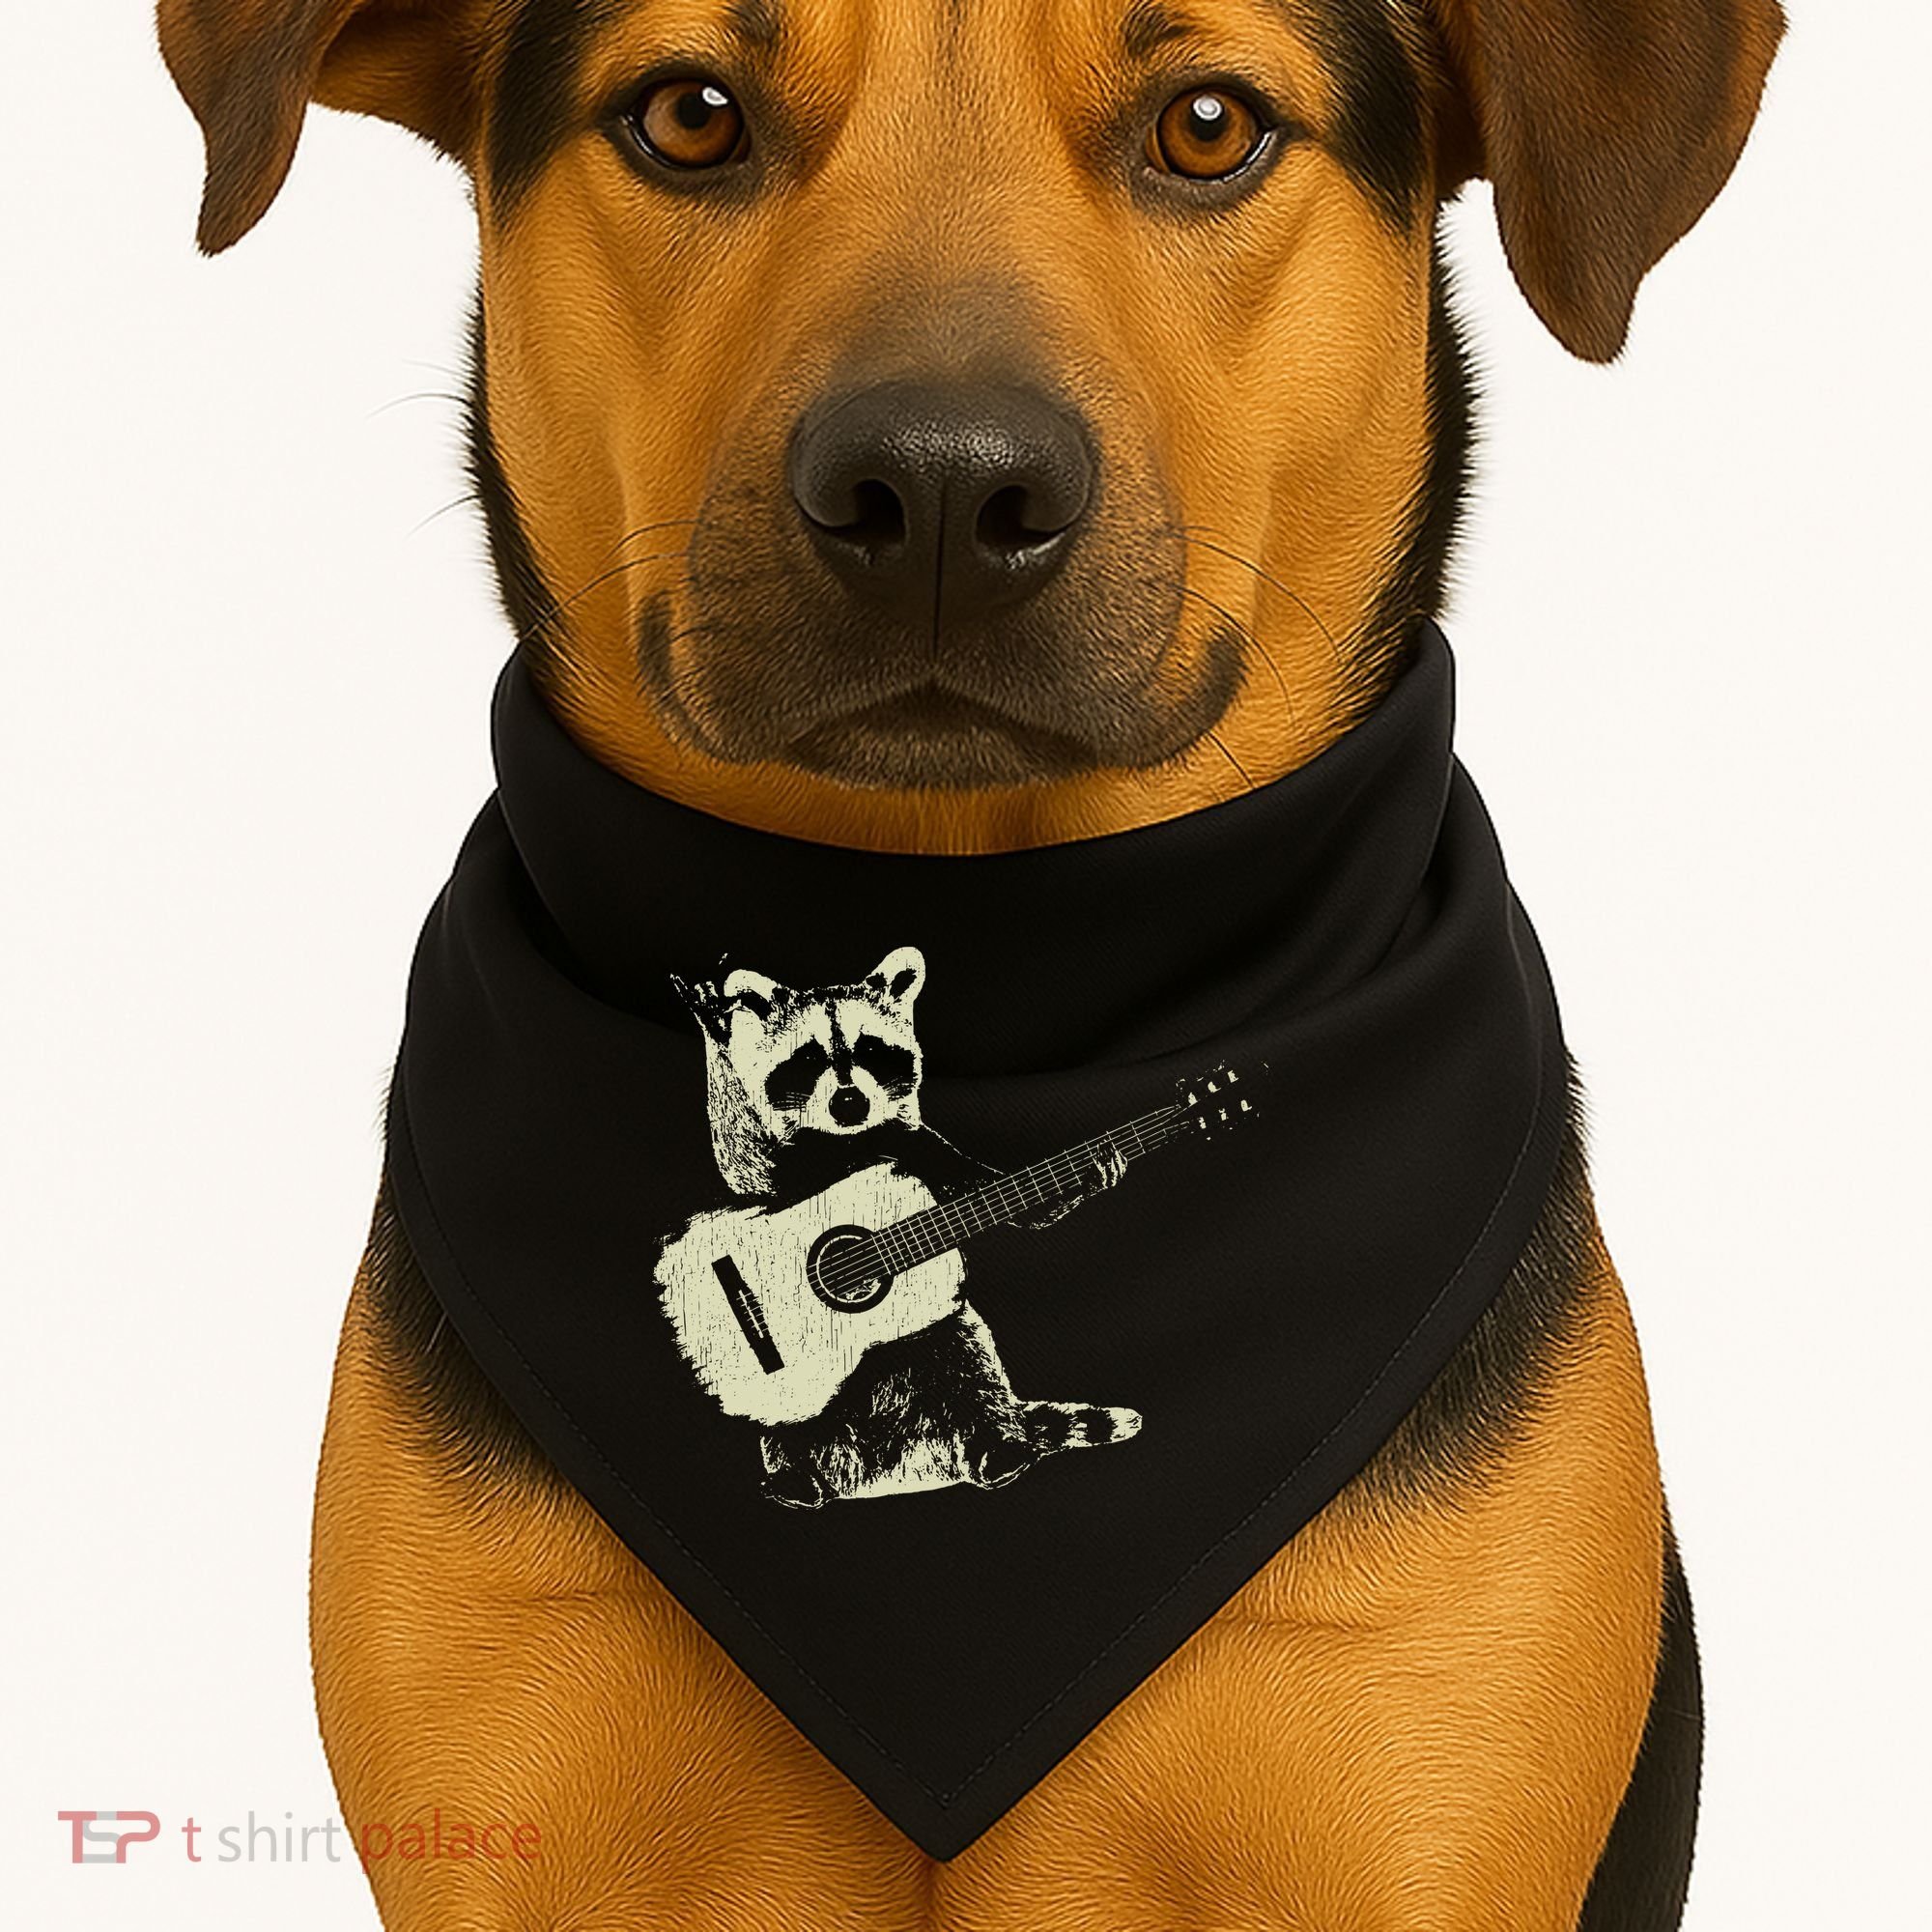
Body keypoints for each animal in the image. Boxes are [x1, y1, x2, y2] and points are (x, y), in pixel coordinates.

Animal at [671, 948, 1140, 1507]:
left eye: (871, 1048)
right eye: (808, 1057)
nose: (849, 1103)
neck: (851, 1140)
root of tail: (892, 1469)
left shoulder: (925, 1151)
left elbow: (1004, 1199)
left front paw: (1085, 1174)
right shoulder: (784, 1167)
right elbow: (744, 1163)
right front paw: (715, 1028)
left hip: (943, 1336)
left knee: (974, 1371)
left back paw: (1000, 1447)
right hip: (795, 1390)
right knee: (789, 1423)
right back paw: (796, 1474)